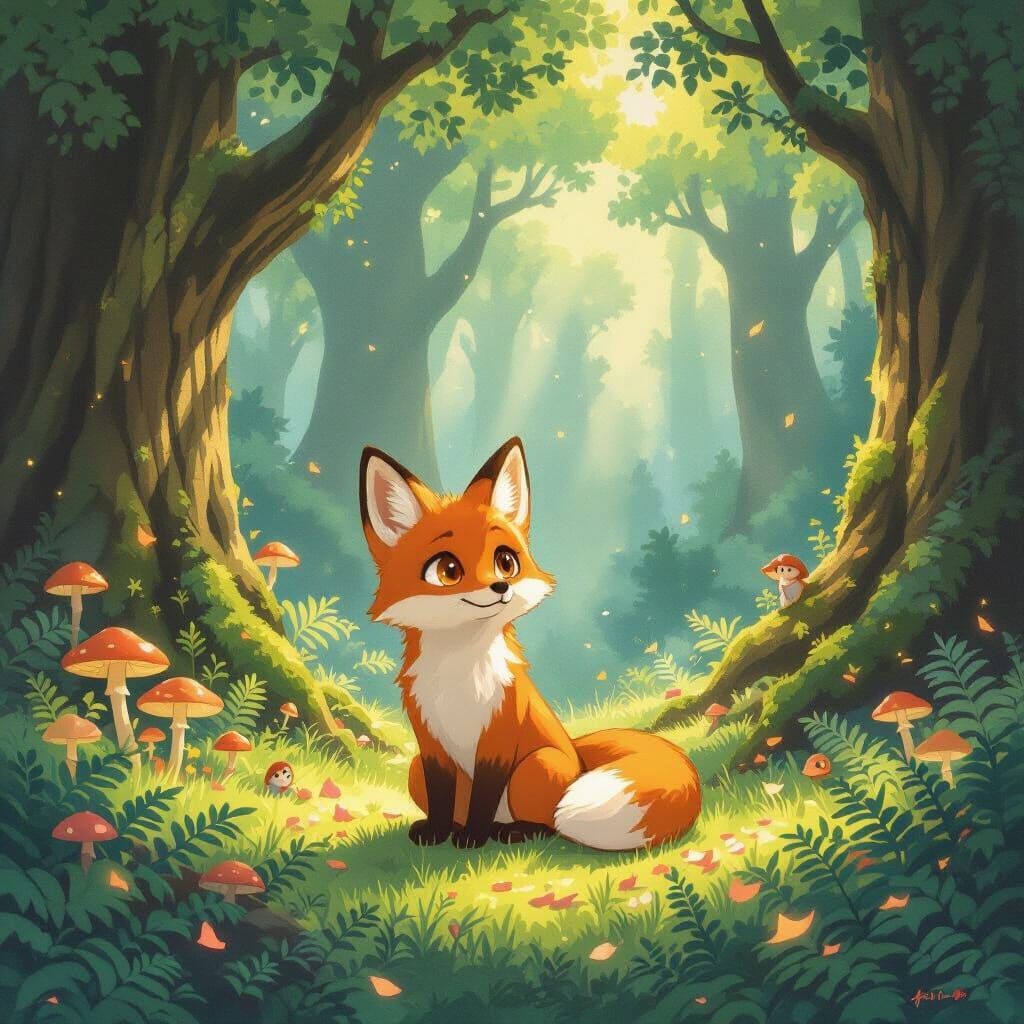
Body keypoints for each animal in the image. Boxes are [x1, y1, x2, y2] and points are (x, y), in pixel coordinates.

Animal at [359, 437, 701, 851]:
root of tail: (577, 754)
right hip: (415, 771)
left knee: (549, 821)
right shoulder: (430, 744)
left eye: (506, 561)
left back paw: (513, 831)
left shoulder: (500, 737)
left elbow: (485, 796)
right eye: (447, 570)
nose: (500, 587)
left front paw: (473, 837)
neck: (459, 672)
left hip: (536, 767)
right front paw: (438, 832)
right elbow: (441, 797)